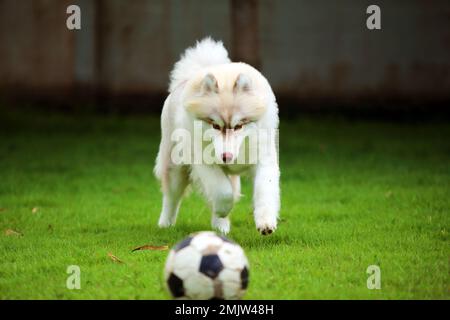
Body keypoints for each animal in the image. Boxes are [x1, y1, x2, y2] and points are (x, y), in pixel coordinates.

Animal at [156, 38, 282, 236]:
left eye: (238, 126)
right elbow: (222, 191)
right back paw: (165, 224)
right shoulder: (203, 161)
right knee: (171, 197)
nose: (226, 157)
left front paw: (266, 221)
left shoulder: (264, 158)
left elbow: (265, 189)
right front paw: (223, 209)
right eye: (215, 125)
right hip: (175, 166)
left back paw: (220, 227)